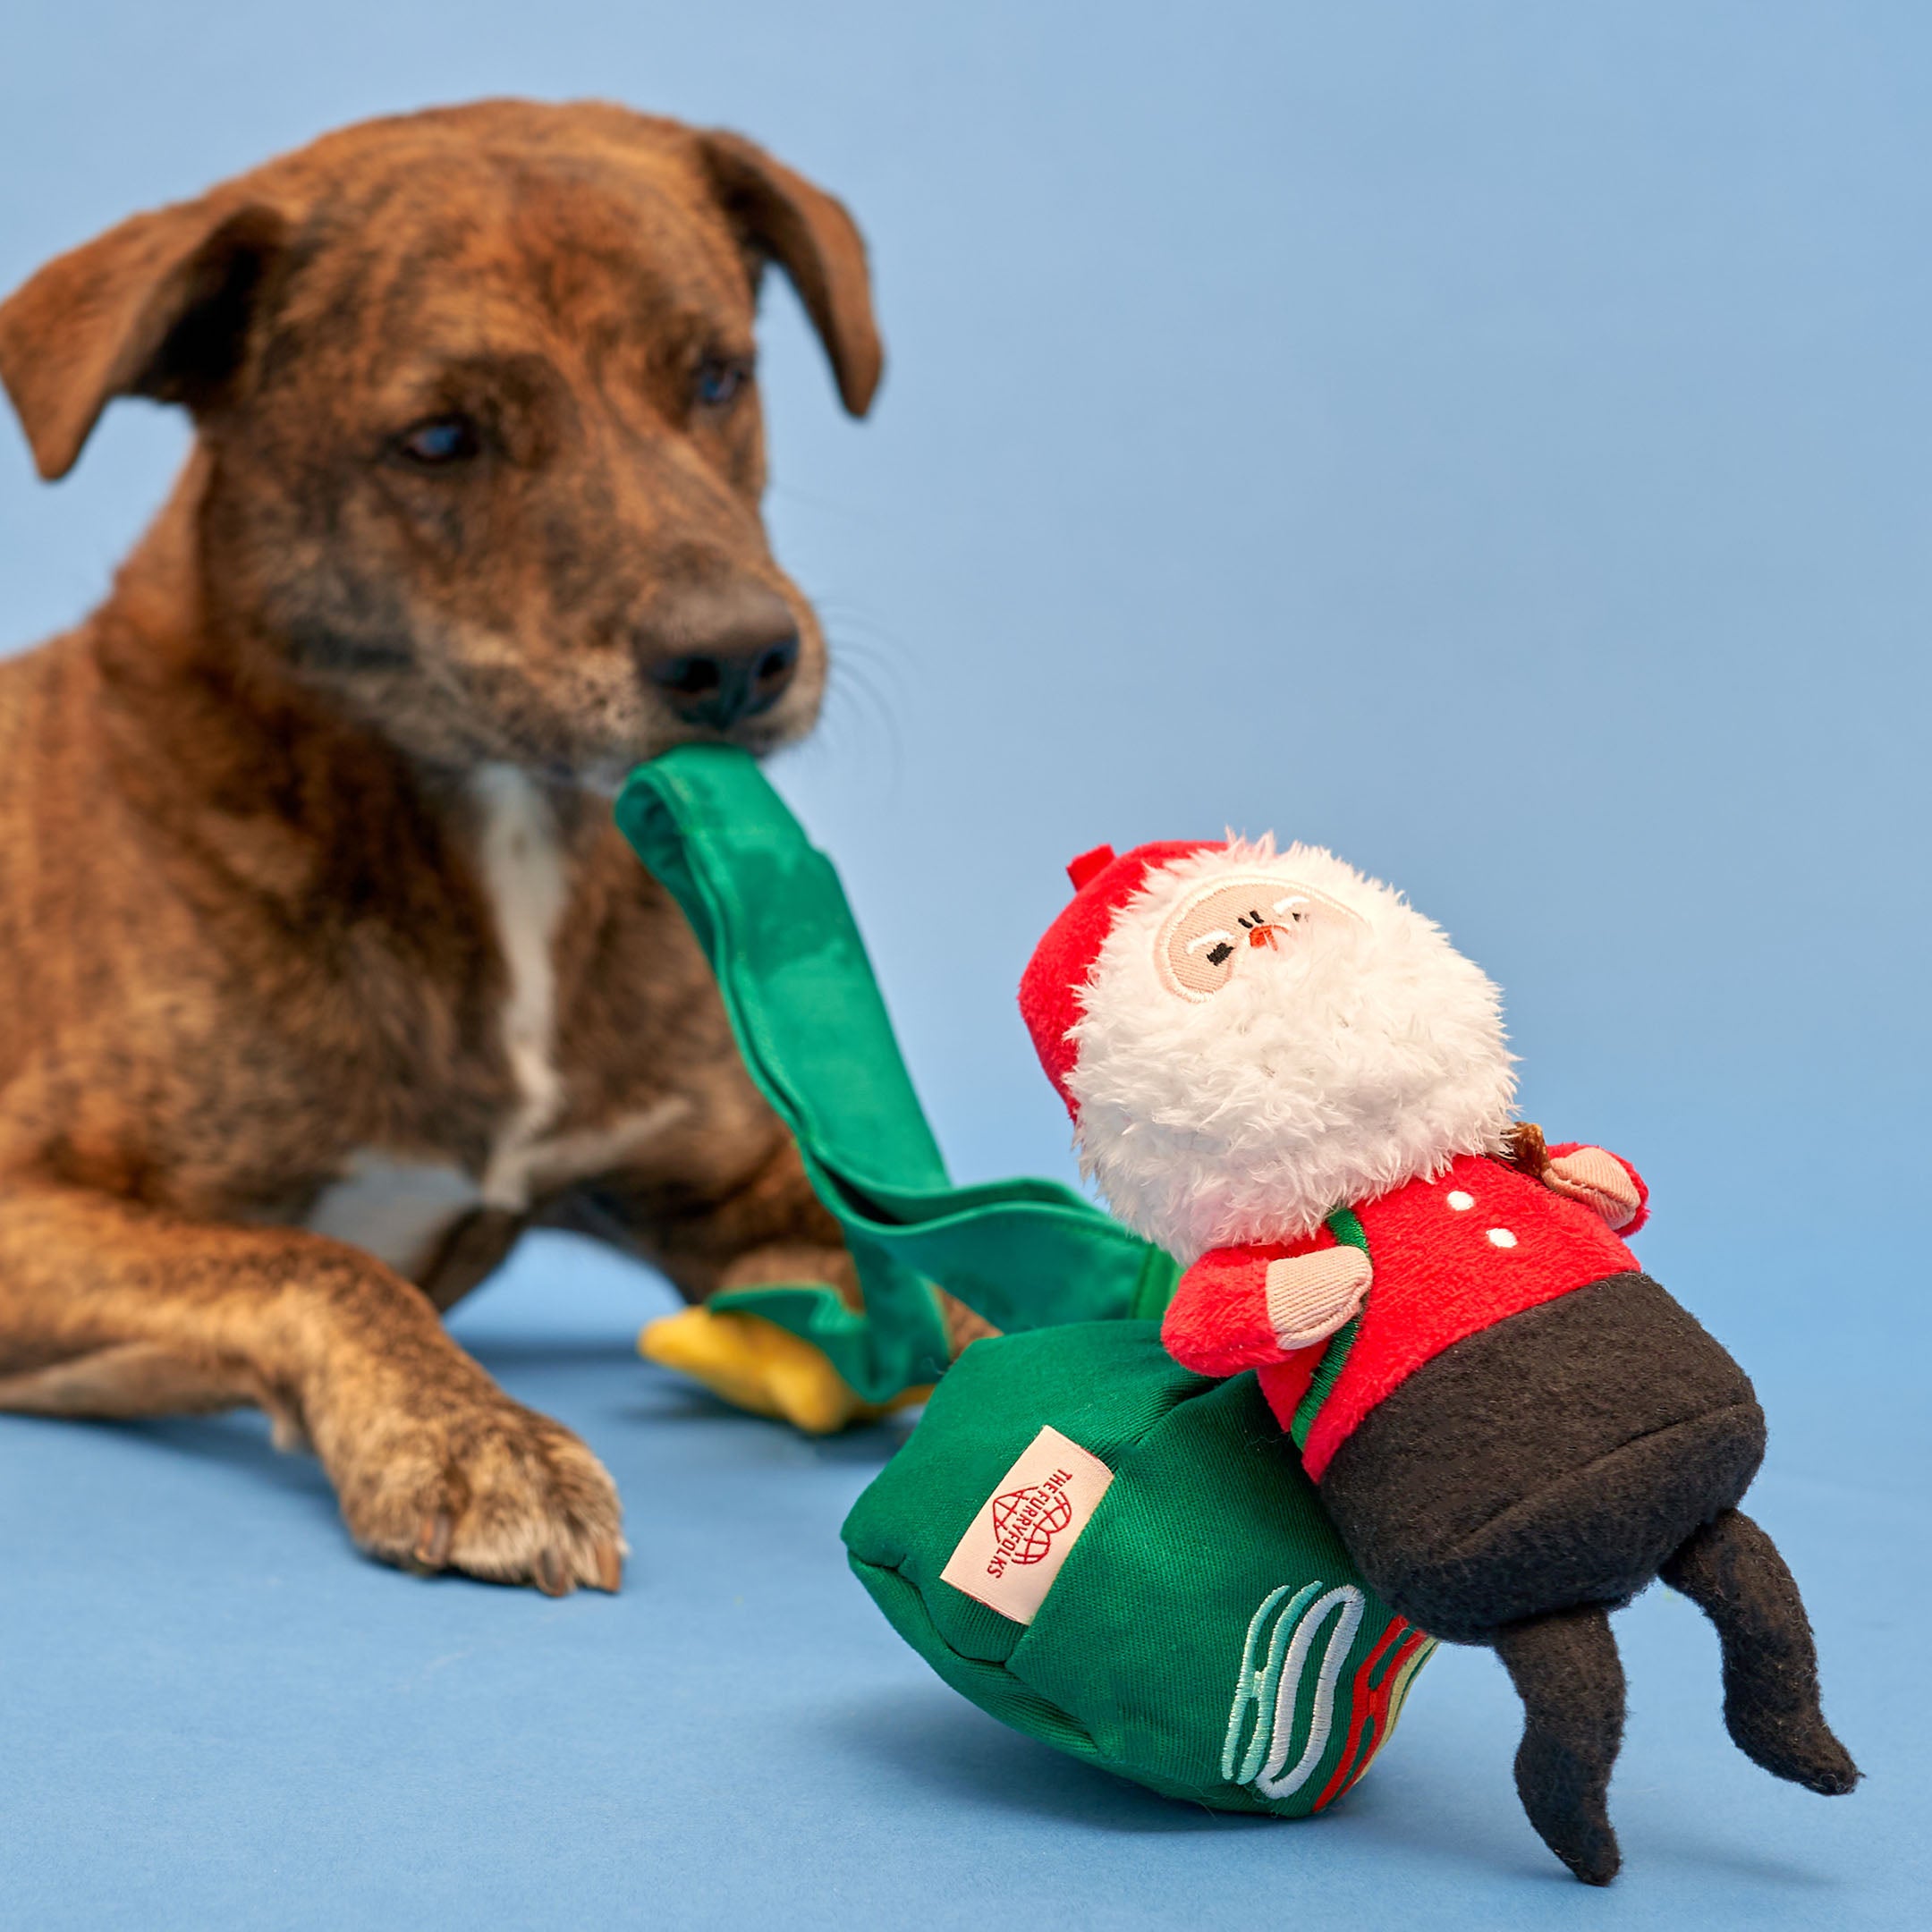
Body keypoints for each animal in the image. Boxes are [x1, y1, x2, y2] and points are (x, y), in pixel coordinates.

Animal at [0, 97, 885, 1591]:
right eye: (438, 439)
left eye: (718, 377)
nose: (739, 658)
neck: (501, 841)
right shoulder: (28, 1198)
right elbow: (315, 1264)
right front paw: (473, 1436)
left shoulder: (742, 1189)